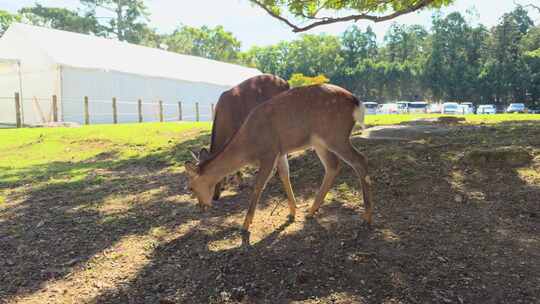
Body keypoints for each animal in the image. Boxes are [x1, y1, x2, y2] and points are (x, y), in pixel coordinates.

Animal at [186, 83, 372, 240]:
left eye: (191, 188)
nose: (202, 207)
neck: (249, 146)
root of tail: (357, 103)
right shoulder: (280, 152)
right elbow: (284, 175)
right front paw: (292, 212)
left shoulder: (269, 152)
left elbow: (258, 185)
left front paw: (245, 225)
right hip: (320, 142)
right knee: (333, 166)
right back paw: (311, 211)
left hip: (335, 135)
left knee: (360, 160)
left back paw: (367, 216)